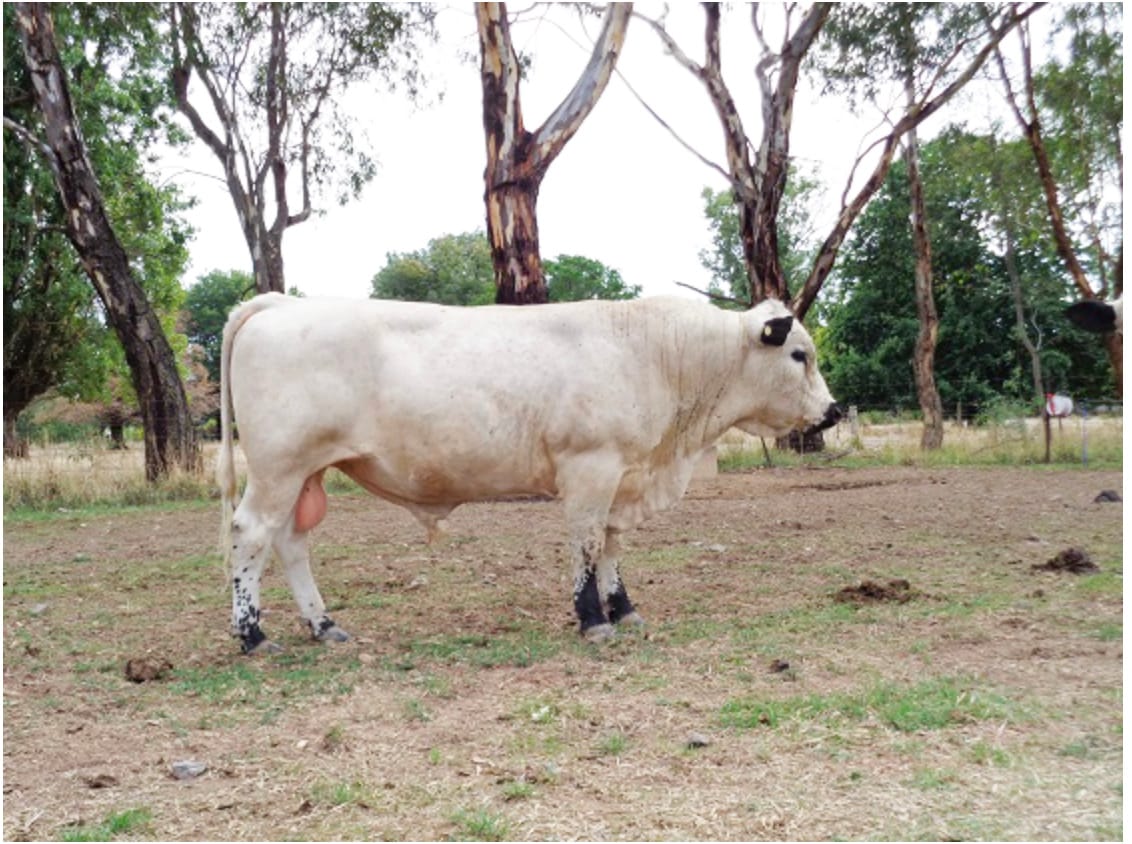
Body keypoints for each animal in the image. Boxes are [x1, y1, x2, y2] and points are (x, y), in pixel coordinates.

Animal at [217, 293, 842, 654]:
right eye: (799, 355)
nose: (833, 412)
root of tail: (279, 303)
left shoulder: (623, 475)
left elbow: (612, 545)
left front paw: (624, 608)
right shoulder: (591, 467)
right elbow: (587, 543)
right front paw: (592, 619)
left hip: (305, 474)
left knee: (290, 542)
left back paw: (323, 626)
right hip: (278, 467)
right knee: (251, 534)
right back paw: (252, 634)